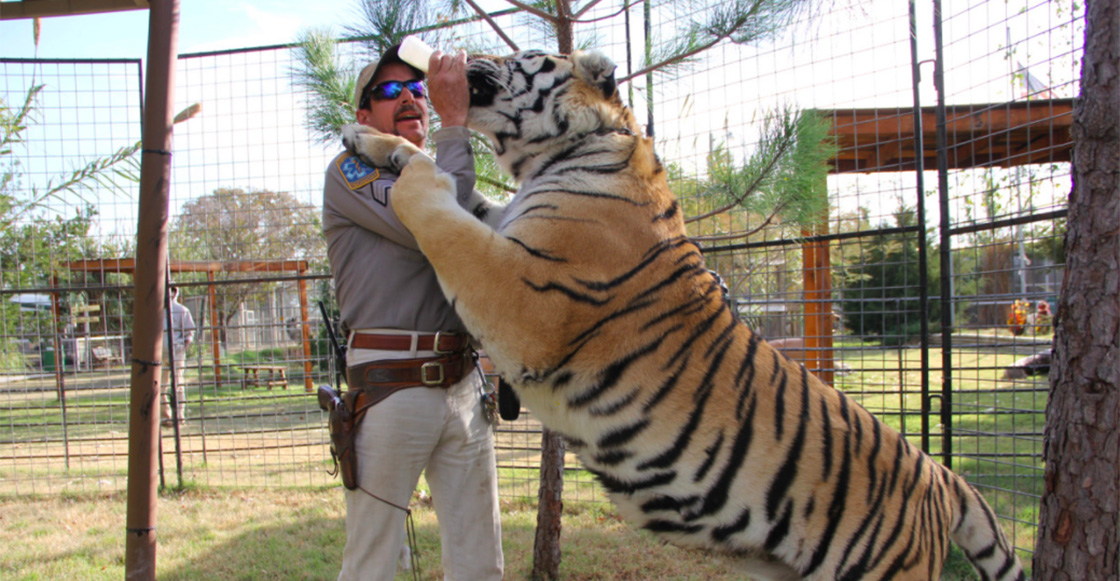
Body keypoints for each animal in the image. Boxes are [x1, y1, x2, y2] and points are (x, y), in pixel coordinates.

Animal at [340, 48, 1025, 581]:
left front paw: (406, 166)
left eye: (521, 55)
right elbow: (455, 188)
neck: (563, 151)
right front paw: (367, 139)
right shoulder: (504, 230)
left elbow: (434, 201)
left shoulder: (519, 293)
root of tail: (939, 476)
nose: (451, 61)